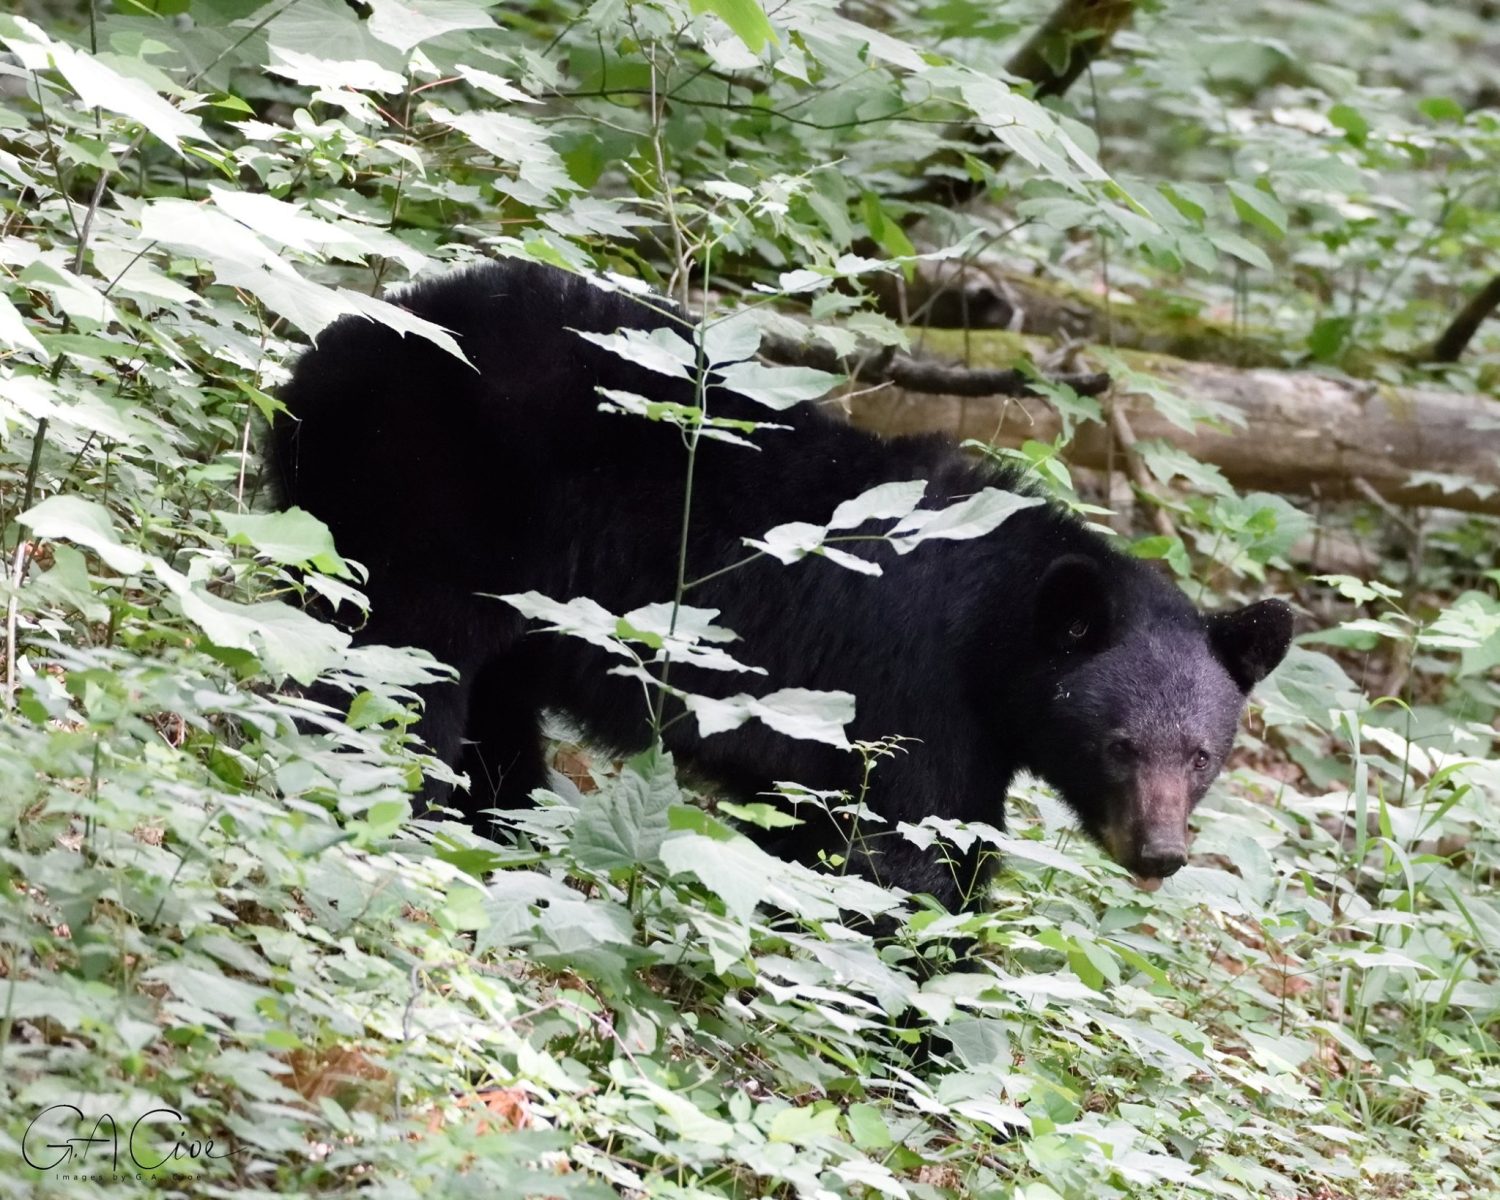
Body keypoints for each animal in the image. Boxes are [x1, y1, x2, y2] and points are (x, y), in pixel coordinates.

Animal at [269, 258, 1293, 912]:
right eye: (1120, 746)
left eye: (1203, 754)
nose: (1160, 852)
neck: (997, 623)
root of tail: (328, 348)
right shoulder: (909, 695)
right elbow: (908, 855)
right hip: (425, 500)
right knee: (404, 669)